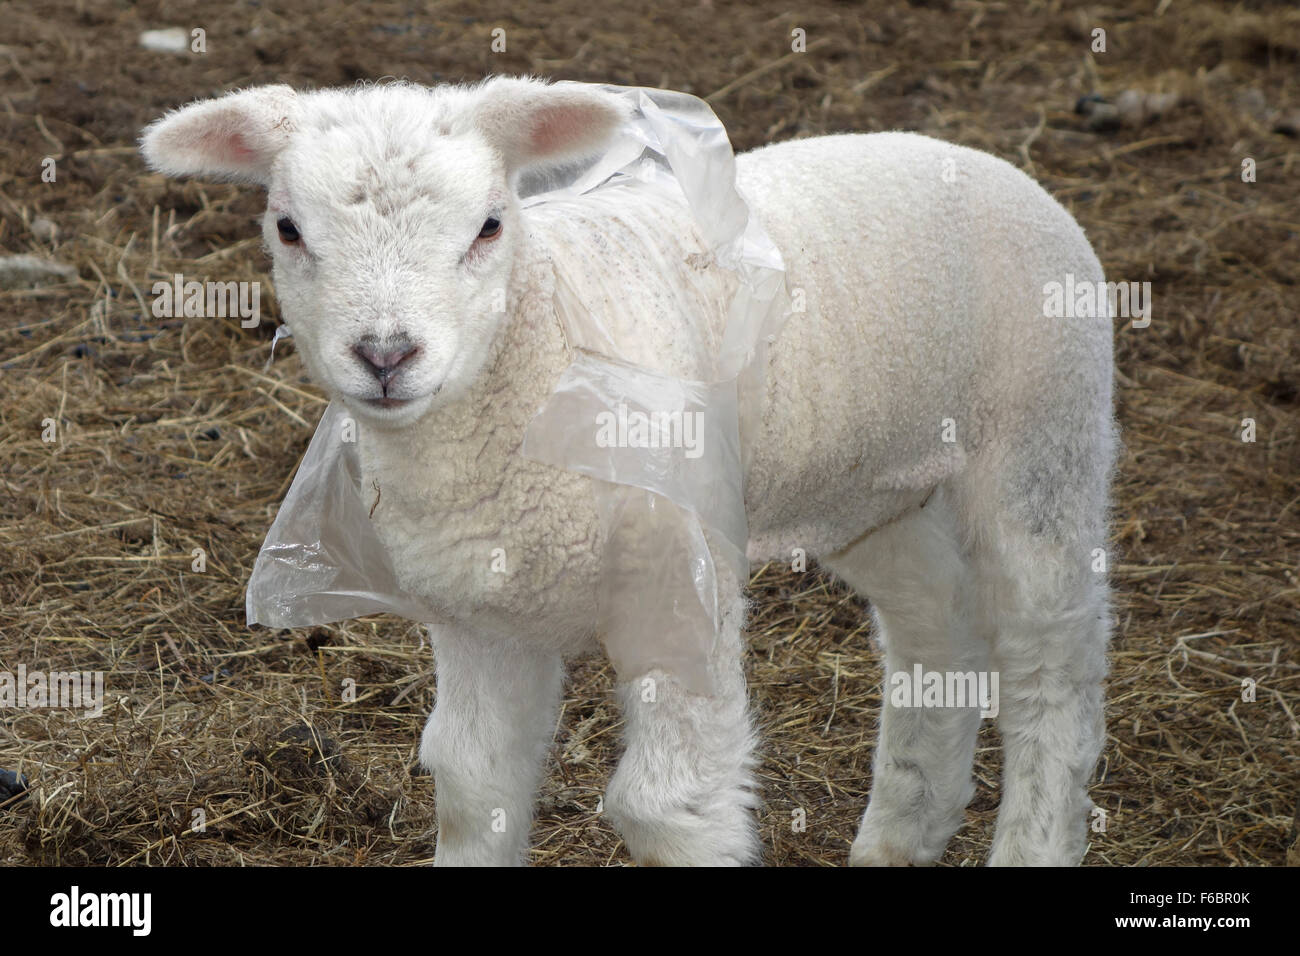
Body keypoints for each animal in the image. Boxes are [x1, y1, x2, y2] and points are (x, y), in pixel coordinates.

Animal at [139, 76, 1118, 868]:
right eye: (287, 228)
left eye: (490, 225)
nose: (385, 355)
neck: (541, 357)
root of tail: (978, 158)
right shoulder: (483, 616)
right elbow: (471, 783)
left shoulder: (678, 587)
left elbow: (667, 808)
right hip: (876, 486)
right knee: (934, 624)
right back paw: (900, 835)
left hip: (1042, 440)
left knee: (1050, 659)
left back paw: (1032, 837)